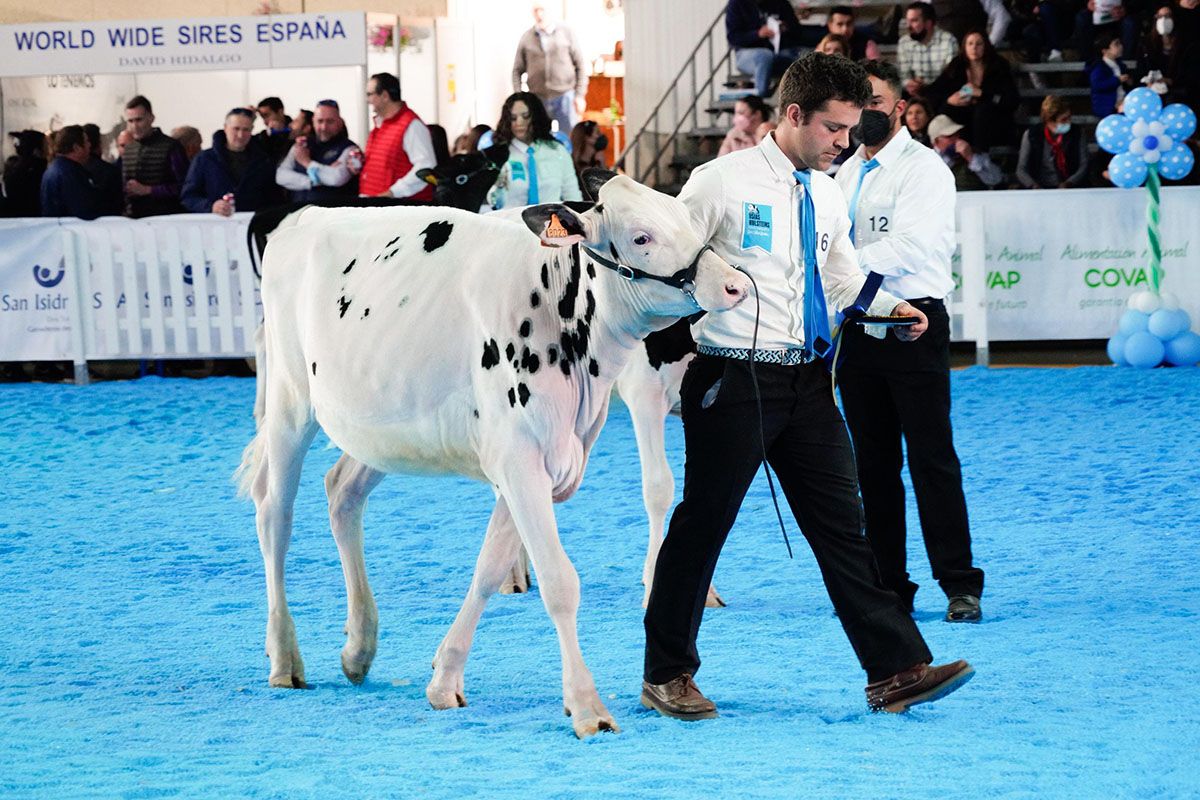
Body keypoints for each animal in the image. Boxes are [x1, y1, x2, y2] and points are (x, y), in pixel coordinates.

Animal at [236, 172, 748, 743]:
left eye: (687, 219)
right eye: (641, 237)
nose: (735, 284)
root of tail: (303, 216)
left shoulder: (533, 460)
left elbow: (488, 566)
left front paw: (444, 678)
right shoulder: (524, 455)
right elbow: (560, 581)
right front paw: (587, 706)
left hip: (382, 427)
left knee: (341, 492)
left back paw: (358, 648)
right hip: (289, 401)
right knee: (274, 513)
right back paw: (284, 656)